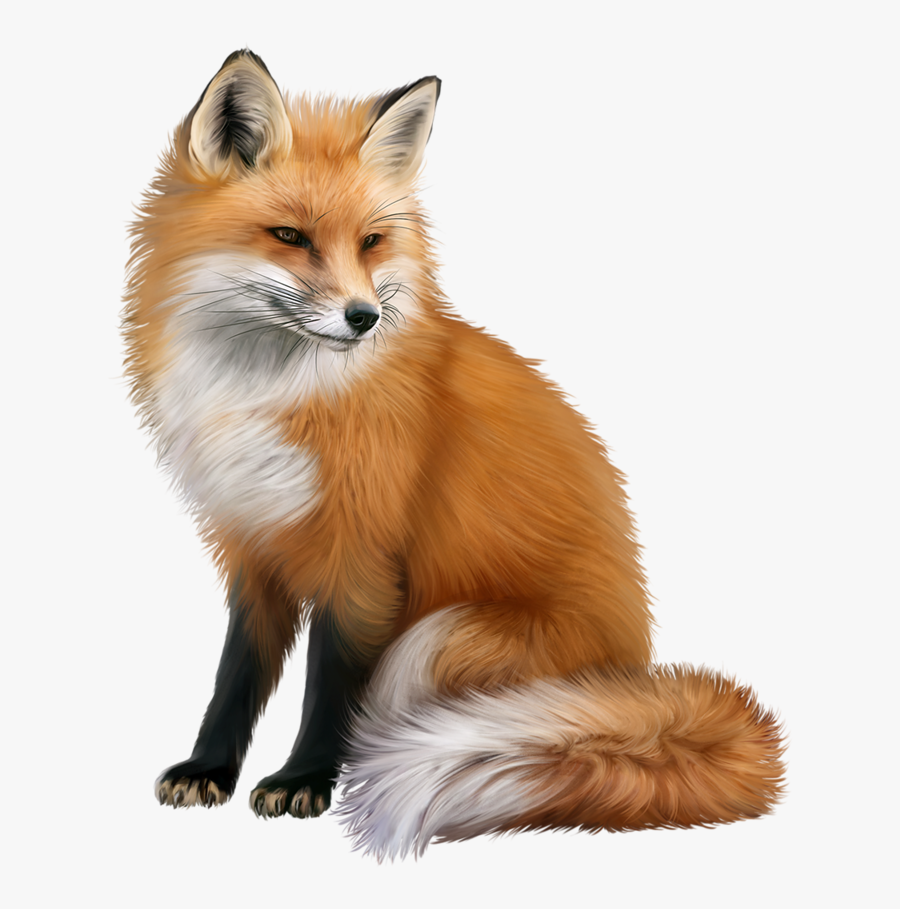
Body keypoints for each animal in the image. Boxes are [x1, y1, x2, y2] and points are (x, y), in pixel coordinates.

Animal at [123, 49, 785, 860]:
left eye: (371, 242)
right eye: (289, 235)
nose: (365, 317)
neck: (272, 392)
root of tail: (633, 668)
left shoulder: (364, 555)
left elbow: (328, 685)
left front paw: (306, 779)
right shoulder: (252, 544)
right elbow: (235, 675)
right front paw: (209, 769)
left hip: (436, 637)